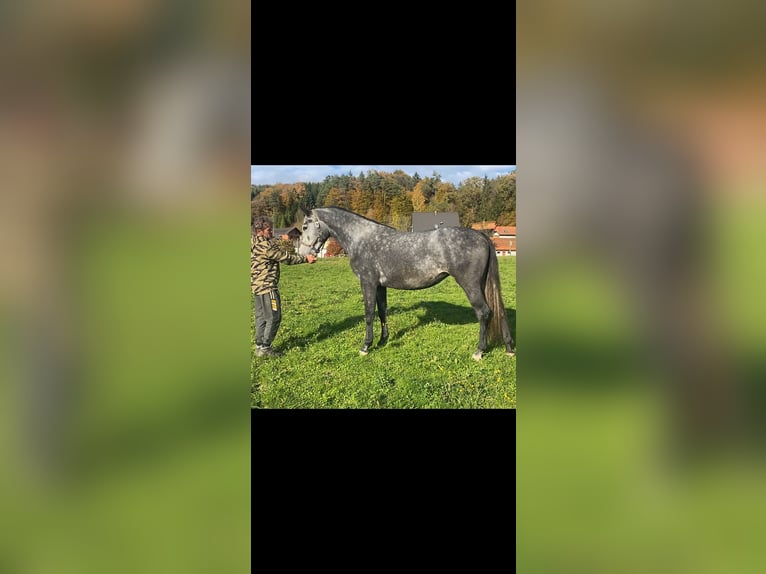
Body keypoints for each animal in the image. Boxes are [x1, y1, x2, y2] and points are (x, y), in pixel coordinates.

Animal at [297, 207, 515, 360]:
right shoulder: (380, 286)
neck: (361, 238)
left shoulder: (368, 283)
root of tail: (481, 236)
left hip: (470, 285)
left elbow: (368, 314)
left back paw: (479, 351)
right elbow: (382, 312)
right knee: (499, 311)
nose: (303, 254)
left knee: (484, 312)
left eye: (305, 226)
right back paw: (509, 348)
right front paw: (383, 340)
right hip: (484, 284)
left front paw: (366, 346)